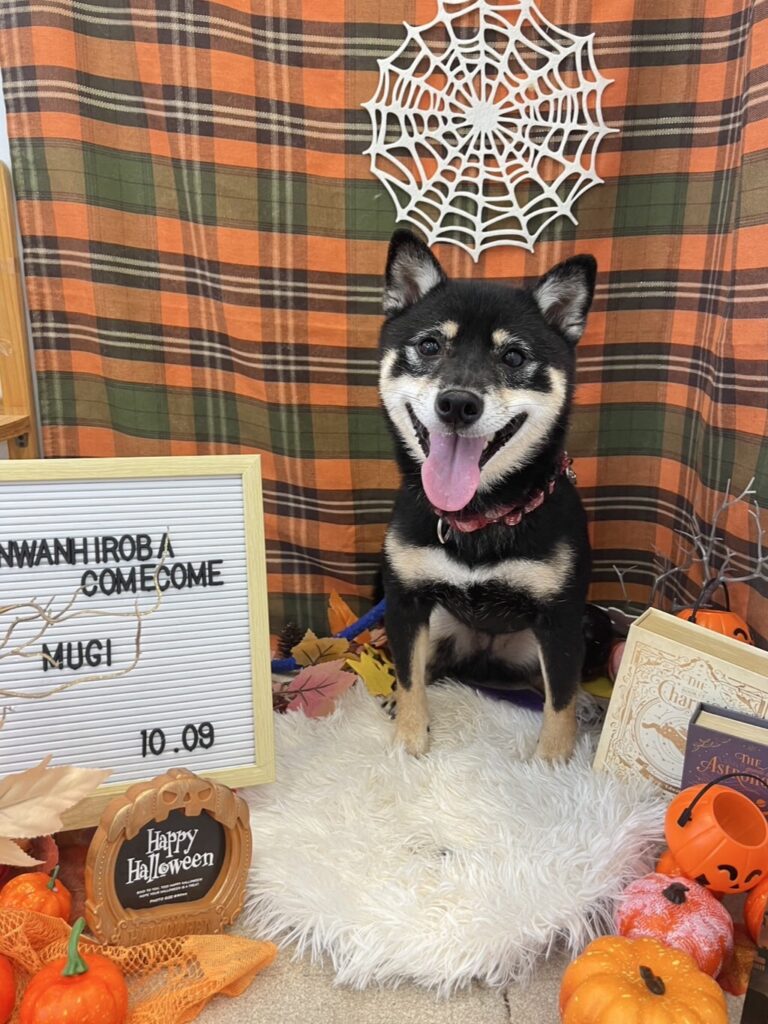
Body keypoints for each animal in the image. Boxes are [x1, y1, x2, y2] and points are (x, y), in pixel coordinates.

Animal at [378, 229, 595, 762]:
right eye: (430, 345)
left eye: (514, 357)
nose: (457, 403)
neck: (478, 516)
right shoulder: (406, 602)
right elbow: (410, 679)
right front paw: (409, 744)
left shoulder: (560, 619)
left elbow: (559, 701)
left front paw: (552, 764)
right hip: (440, 624)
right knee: (424, 668)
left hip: (559, 633)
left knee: (551, 684)